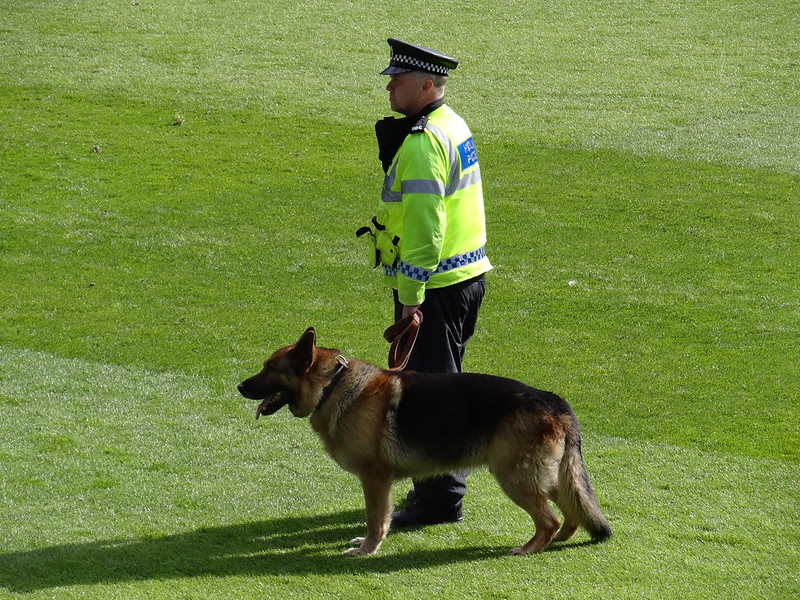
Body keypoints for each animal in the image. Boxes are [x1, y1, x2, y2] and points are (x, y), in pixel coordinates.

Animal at [238, 330, 612, 556]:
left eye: (270, 369)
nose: (239, 386)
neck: (332, 385)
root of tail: (554, 400)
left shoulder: (375, 480)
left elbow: (375, 519)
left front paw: (367, 550)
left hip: (514, 477)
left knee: (549, 519)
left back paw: (529, 549)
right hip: (542, 476)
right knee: (569, 510)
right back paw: (560, 540)